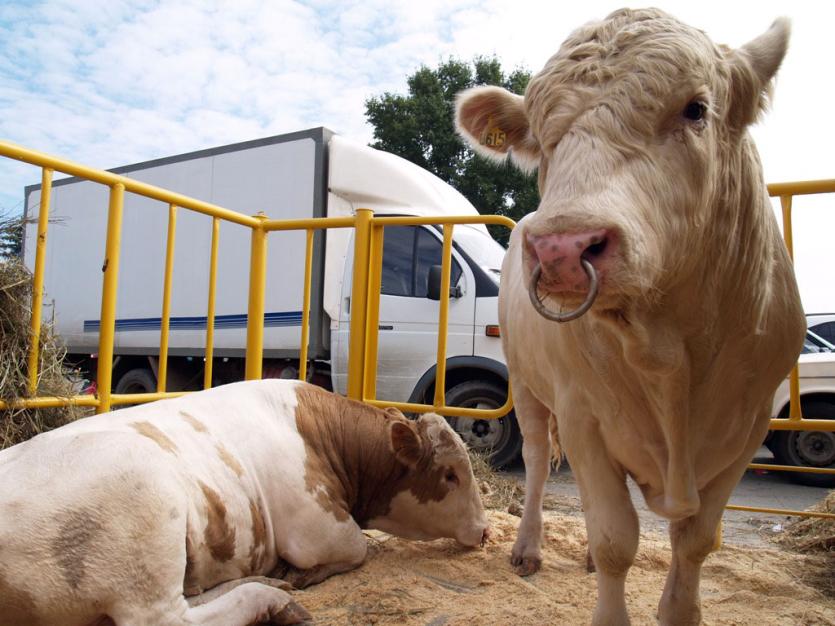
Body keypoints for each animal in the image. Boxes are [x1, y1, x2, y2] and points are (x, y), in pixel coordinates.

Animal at [0, 378, 490, 620]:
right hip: (142, 520)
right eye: (450, 474)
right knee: (170, 618)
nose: (485, 531)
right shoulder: (317, 527)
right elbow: (358, 549)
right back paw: (272, 599)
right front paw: (301, 574)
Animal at [454, 6, 808, 624]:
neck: (669, 356)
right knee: (540, 464)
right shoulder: (583, 416)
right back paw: (527, 547)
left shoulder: (749, 429)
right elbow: (615, 539)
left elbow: (695, 543)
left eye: (696, 108)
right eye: (541, 137)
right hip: (527, 385)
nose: (561, 248)